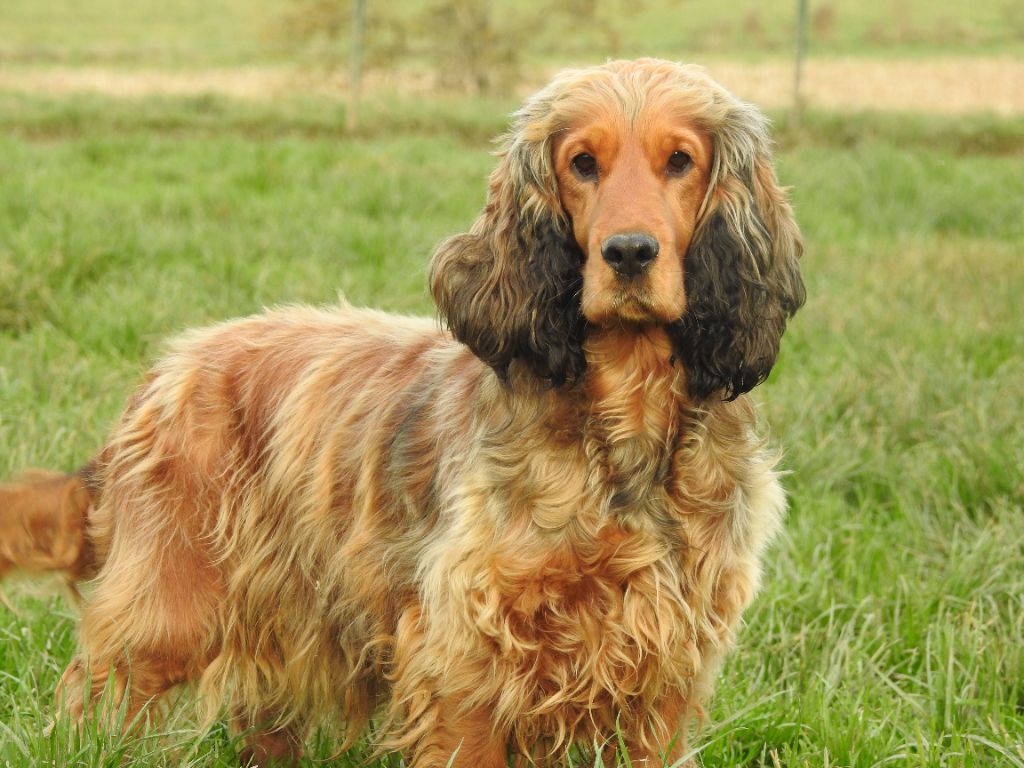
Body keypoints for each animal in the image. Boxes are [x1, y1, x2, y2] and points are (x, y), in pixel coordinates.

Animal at [0, 57, 798, 765]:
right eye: (582, 163)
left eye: (680, 160)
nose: (629, 253)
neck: (623, 427)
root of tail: (166, 369)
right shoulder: (466, 649)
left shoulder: (664, 665)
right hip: (166, 613)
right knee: (90, 705)